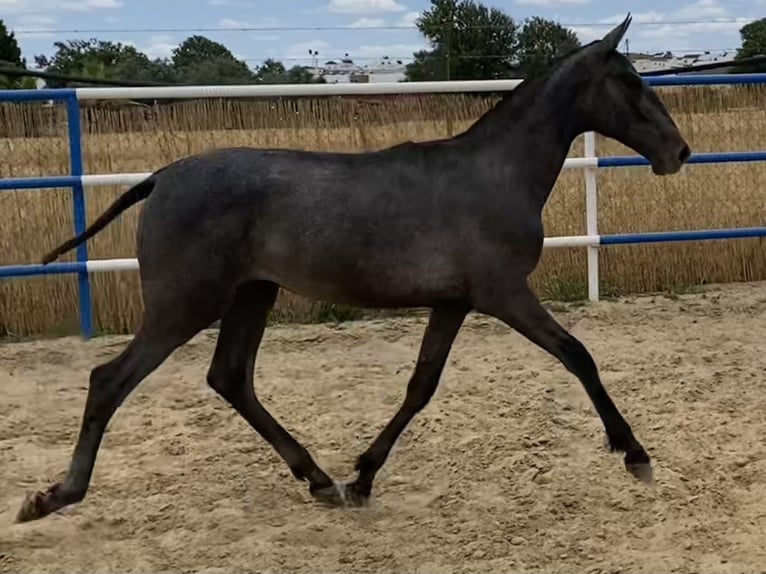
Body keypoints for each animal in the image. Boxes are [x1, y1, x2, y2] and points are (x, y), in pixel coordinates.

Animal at [18, 15, 692, 524]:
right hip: (185, 303)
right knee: (110, 380)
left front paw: (363, 477)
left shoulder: (454, 302)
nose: (679, 152)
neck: (495, 173)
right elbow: (578, 355)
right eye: (630, 81)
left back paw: (318, 479)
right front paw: (635, 454)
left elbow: (421, 386)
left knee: (230, 377)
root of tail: (159, 178)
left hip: (252, 294)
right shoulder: (503, 292)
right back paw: (54, 496)